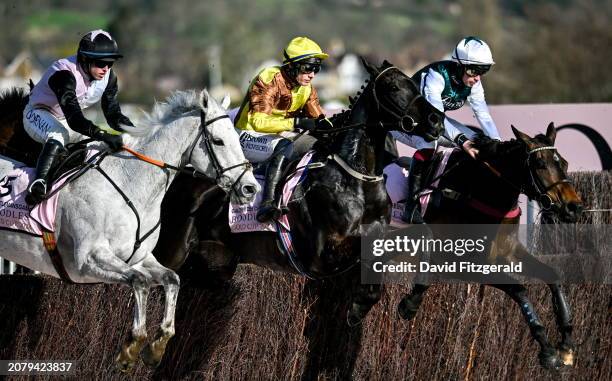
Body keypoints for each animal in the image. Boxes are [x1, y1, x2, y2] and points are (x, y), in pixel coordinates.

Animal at [154, 58, 444, 324]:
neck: (355, 180)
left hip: (216, 262)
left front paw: (409, 302)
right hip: (172, 251)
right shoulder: (320, 257)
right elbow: (367, 256)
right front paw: (359, 306)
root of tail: (181, 177)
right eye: (393, 86)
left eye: (414, 84)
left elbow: (425, 235)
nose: (436, 120)